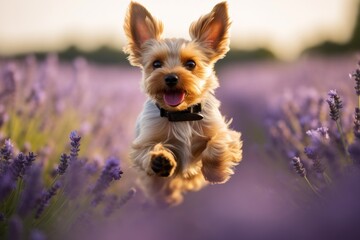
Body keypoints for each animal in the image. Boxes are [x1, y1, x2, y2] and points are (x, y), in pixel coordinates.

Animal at [123, 0, 242, 206]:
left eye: (191, 64)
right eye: (156, 64)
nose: (171, 78)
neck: (182, 114)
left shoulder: (225, 134)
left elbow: (216, 146)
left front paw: (215, 173)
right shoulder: (142, 144)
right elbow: (148, 151)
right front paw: (160, 161)